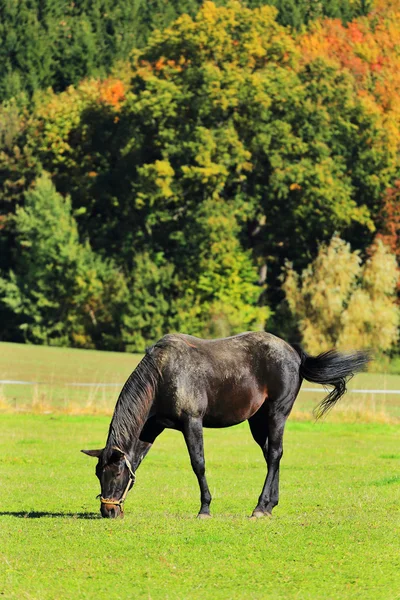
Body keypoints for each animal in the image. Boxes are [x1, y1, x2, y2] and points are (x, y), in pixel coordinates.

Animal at [82, 330, 368, 516]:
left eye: (116, 473)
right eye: (97, 473)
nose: (107, 511)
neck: (162, 375)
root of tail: (294, 353)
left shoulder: (192, 422)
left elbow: (198, 464)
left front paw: (205, 508)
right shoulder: (151, 428)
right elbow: (138, 459)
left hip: (277, 413)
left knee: (275, 453)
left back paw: (260, 508)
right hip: (257, 421)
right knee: (270, 456)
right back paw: (269, 505)